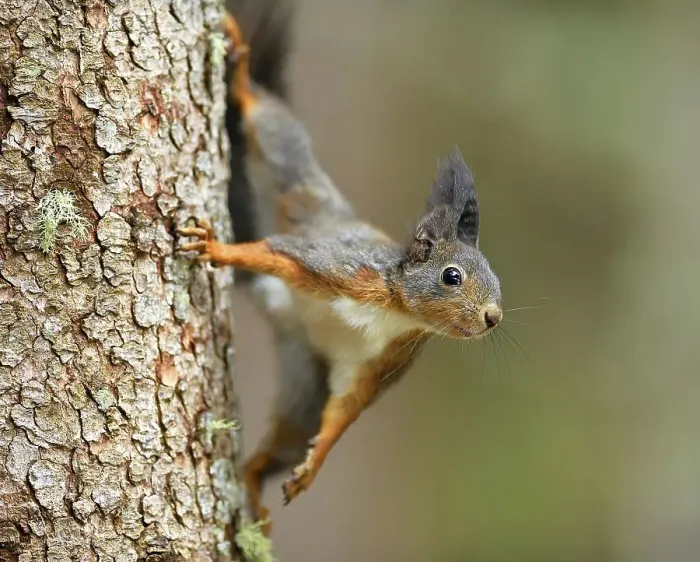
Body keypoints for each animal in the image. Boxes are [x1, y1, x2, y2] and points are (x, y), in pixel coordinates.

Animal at [178, 12, 503, 534]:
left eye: (497, 281)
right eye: (451, 276)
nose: (493, 318)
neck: (397, 309)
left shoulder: (380, 360)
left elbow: (345, 411)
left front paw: (314, 468)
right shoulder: (339, 267)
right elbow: (275, 252)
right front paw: (216, 247)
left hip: (305, 388)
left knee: (280, 444)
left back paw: (256, 488)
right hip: (301, 191)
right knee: (270, 125)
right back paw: (242, 69)